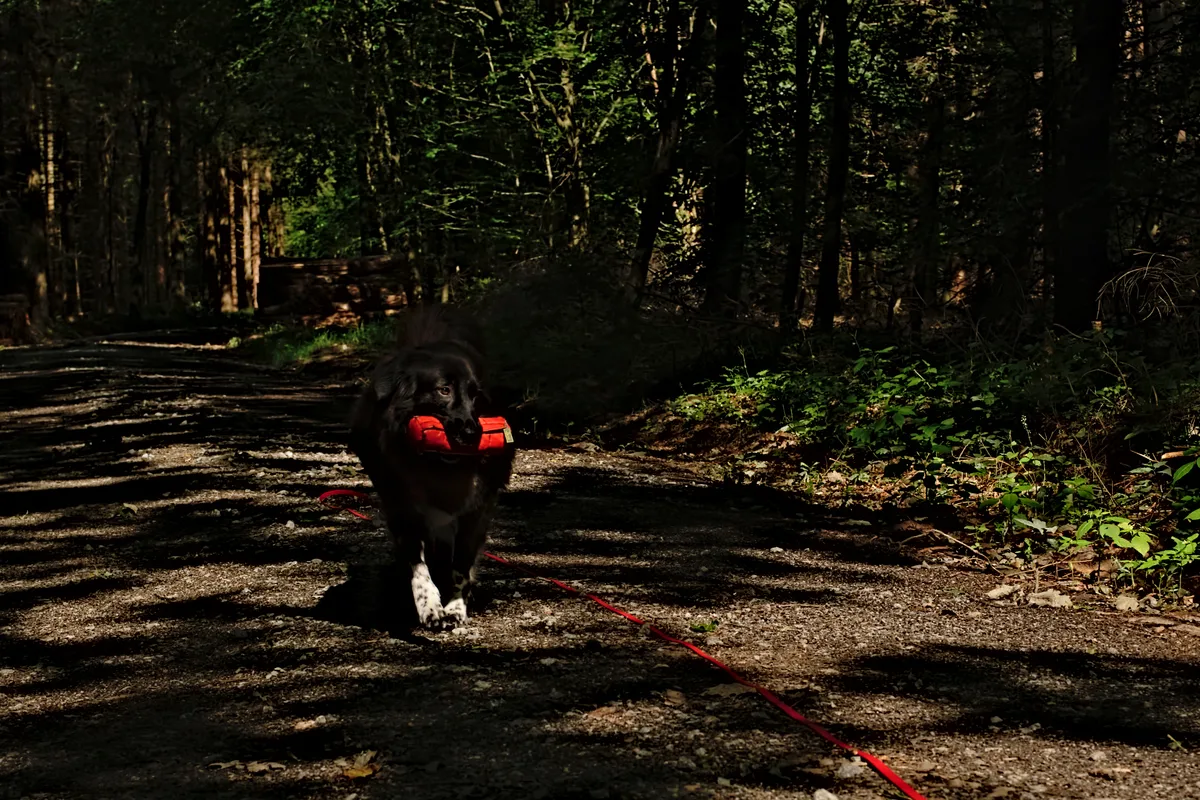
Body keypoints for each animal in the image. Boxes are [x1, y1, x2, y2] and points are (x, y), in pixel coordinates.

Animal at [350, 309, 513, 628]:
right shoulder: (402, 508)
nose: (473, 433)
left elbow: (462, 565)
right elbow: (417, 566)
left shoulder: (477, 512)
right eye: (443, 390)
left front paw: (456, 607)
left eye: (476, 396)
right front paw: (429, 605)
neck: (436, 466)